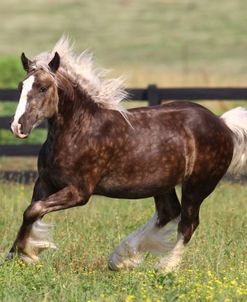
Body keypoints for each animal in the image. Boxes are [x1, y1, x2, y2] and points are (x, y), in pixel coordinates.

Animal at [8, 37, 247, 272]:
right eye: (21, 86)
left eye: (43, 87)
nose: (18, 126)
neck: (79, 131)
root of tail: (223, 124)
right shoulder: (44, 182)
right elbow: (30, 213)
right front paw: (17, 255)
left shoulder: (79, 192)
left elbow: (33, 210)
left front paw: (27, 254)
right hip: (162, 184)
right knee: (168, 212)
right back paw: (121, 258)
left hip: (197, 186)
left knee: (188, 222)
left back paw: (165, 267)